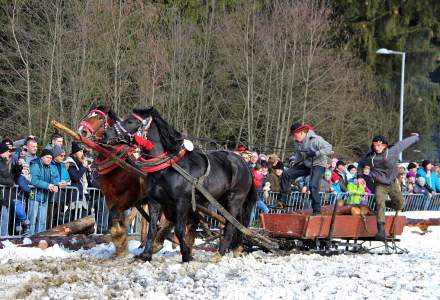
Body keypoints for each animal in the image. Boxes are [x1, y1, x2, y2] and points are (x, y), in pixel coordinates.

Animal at [102, 106, 256, 262]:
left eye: (130, 121)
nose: (106, 134)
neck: (166, 167)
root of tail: (244, 163)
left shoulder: (182, 202)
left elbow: (179, 229)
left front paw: (186, 255)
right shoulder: (155, 201)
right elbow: (152, 228)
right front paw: (146, 255)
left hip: (235, 199)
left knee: (231, 225)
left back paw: (220, 253)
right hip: (222, 200)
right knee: (234, 224)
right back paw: (235, 249)